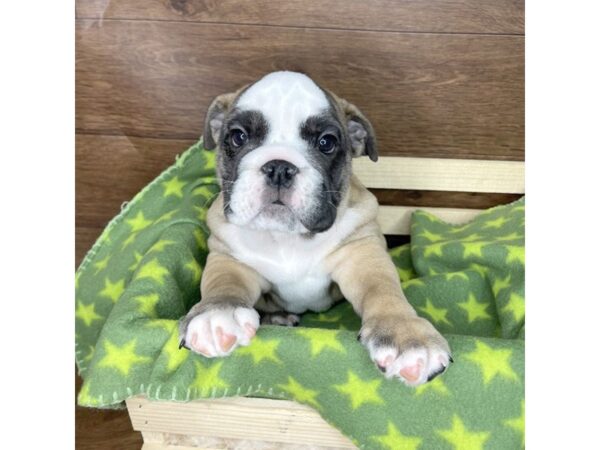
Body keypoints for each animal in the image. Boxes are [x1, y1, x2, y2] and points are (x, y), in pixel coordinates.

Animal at [180, 72, 452, 384]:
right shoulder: (229, 257)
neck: (288, 238)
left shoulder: (361, 254)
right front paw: (216, 315)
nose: (279, 167)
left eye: (326, 142)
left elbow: (383, 291)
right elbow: (222, 284)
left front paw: (405, 333)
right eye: (238, 137)